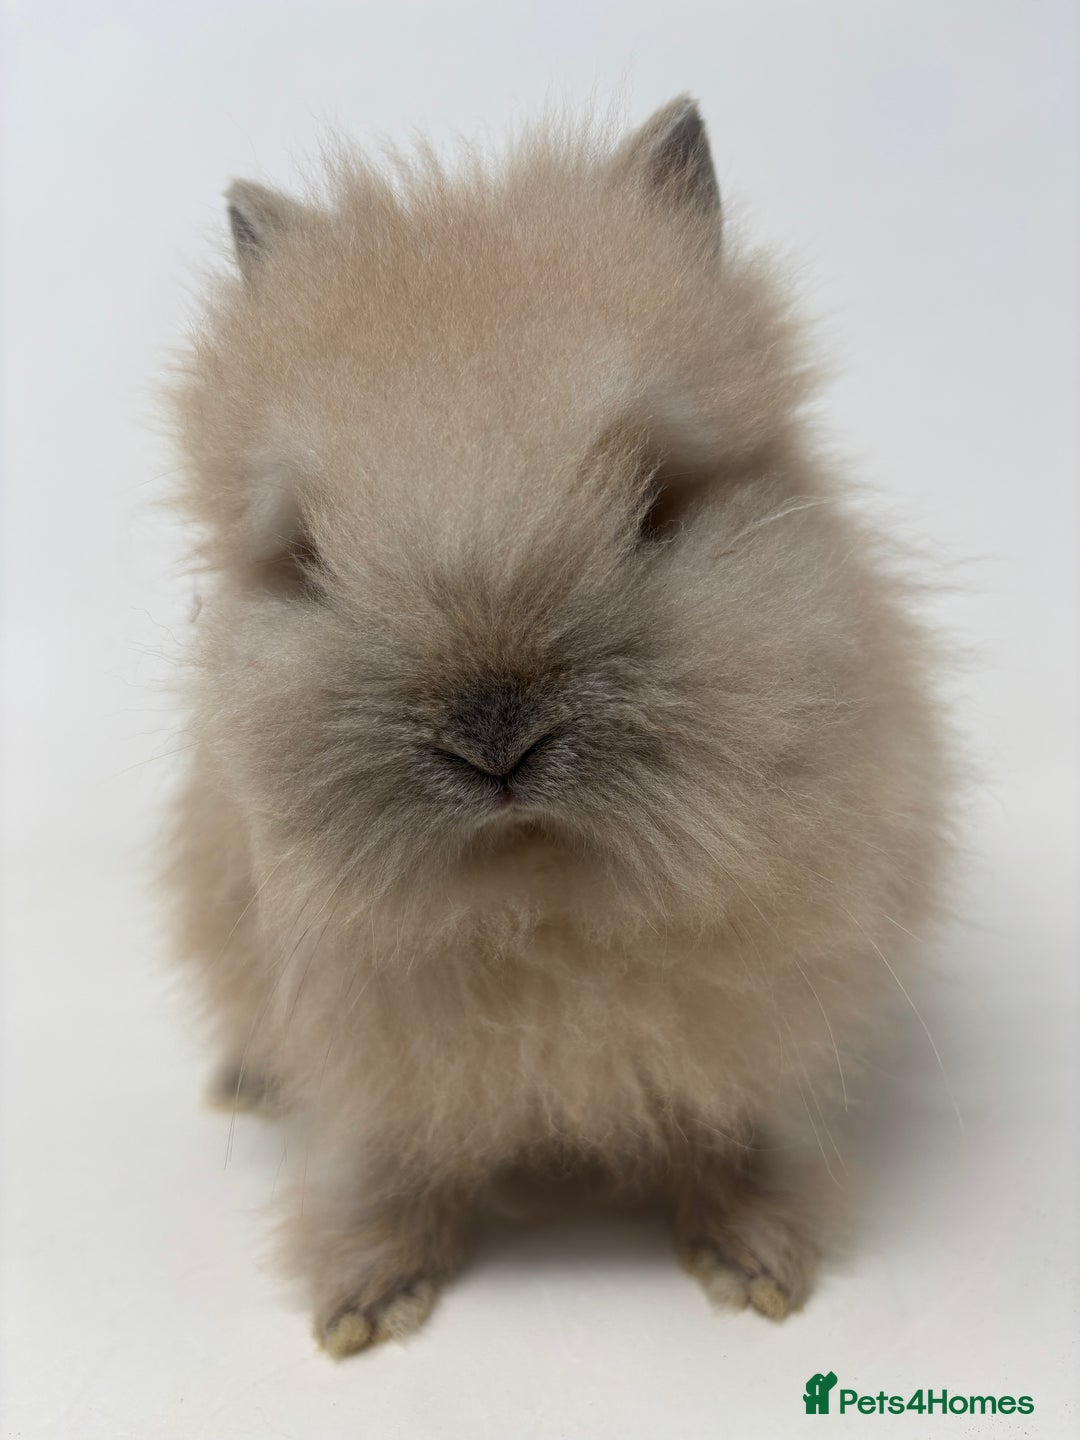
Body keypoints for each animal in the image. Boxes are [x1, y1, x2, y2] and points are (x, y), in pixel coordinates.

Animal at [164, 96, 953, 1358]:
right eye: (308, 558)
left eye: (659, 506)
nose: (493, 738)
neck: (539, 895)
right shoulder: (364, 1061)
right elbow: (386, 1167)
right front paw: (364, 1304)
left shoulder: (759, 1030)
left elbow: (735, 1132)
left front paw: (757, 1265)